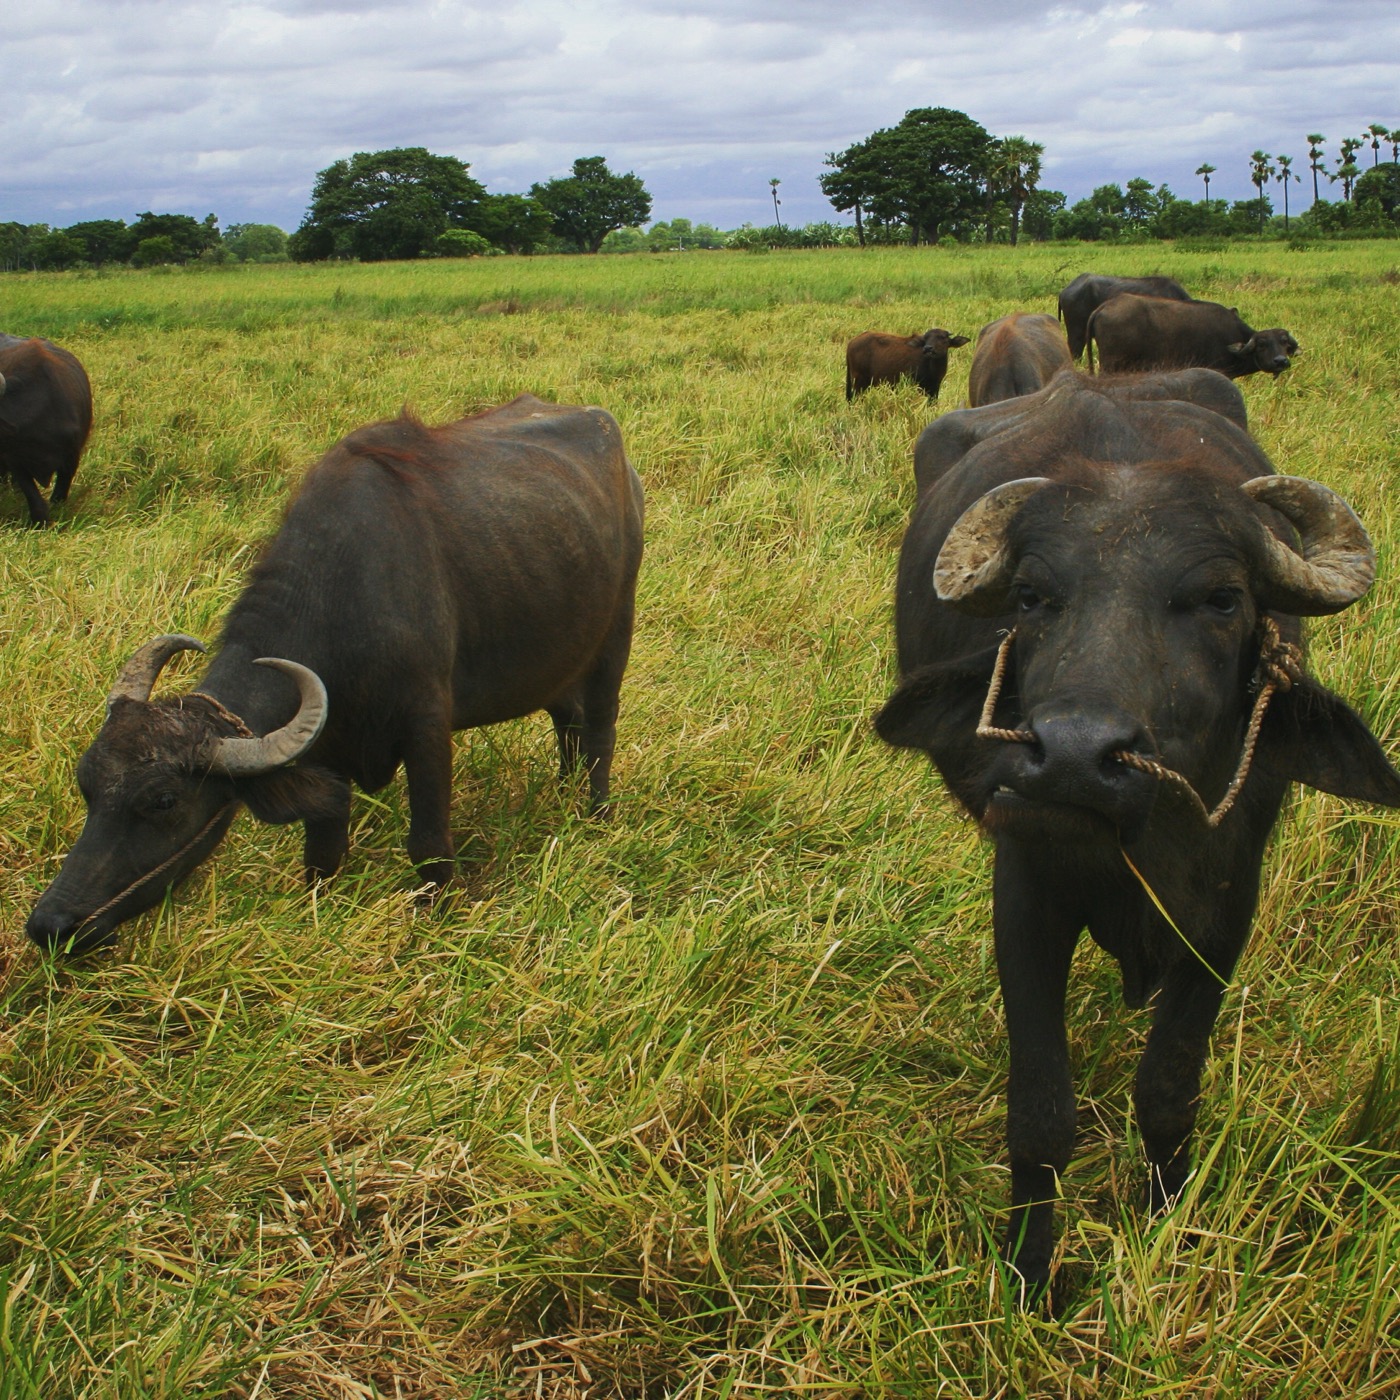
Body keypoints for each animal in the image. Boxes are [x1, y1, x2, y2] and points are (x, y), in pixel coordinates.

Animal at [27, 394, 645, 954]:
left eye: (163, 801)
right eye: (86, 784)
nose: (51, 925)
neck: (344, 596)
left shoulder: (427, 725)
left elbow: (429, 844)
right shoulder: (322, 753)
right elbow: (321, 853)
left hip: (615, 636)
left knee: (599, 730)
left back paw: (595, 812)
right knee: (567, 721)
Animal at [876, 372, 1400, 1298]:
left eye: (1222, 598)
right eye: (1031, 598)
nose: (1074, 757)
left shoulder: (1227, 907)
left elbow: (1168, 1089)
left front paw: (1167, 1219)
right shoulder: (1025, 891)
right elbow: (1042, 1112)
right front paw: (1031, 1274)